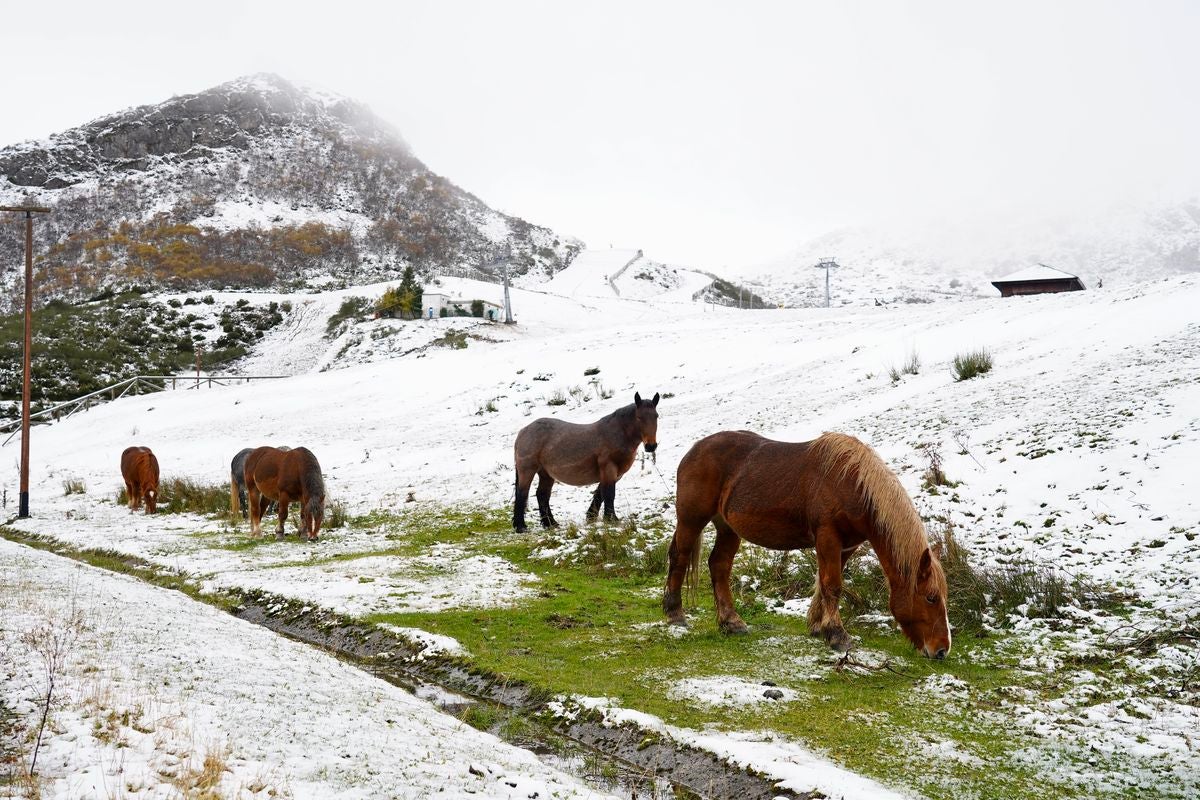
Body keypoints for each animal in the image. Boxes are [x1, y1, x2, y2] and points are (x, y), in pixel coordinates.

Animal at [513, 392, 660, 532]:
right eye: (639, 417)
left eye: (656, 416)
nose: (651, 446)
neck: (617, 433)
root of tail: (523, 431)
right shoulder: (609, 468)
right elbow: (609, 494)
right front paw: (611, 519)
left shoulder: (616, 474)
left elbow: (600, 493)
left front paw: (592, 517)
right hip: (527, 470)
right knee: (522, 494)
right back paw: (521, 526)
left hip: (546, 474)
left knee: (542, 495)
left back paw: (551, 524)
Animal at [662, 431, 951, 659]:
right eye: (931, 597)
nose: (941, 650)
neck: (851, 484)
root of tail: (694, 451)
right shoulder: (828, 537)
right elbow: (832, 585)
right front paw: (837, 635)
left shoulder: (846, 546)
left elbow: (824, 584)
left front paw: (817, 625)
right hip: (691, 519)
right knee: (679, 557)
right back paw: (675, 614)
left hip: (728, 528)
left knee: (719, 566)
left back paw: (731, 622)